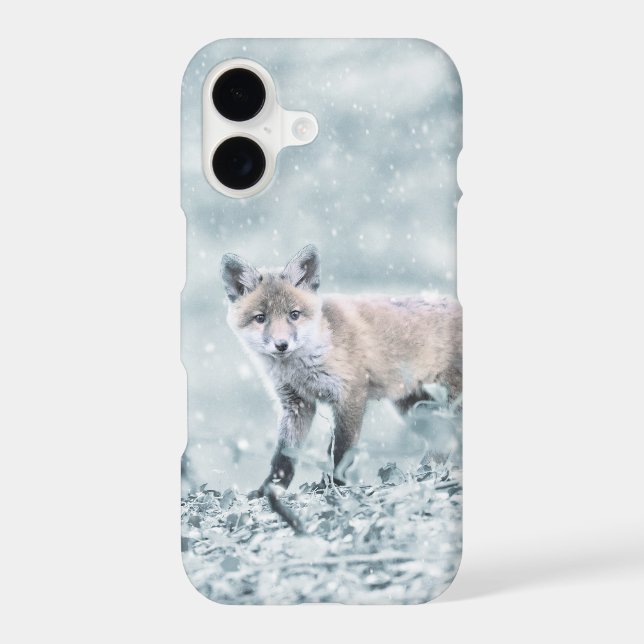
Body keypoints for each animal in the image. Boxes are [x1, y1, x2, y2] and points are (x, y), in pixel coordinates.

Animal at [221, 244, 462, 497]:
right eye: (260, 318)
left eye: (294, 314)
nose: (281, 344)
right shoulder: (296, 404)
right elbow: (284, 455)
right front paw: (269, 489)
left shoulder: (350, 395)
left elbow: (341, 451)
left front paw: (333, 485)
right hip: (415, 410)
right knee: (443, 441)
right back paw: (424, 475)